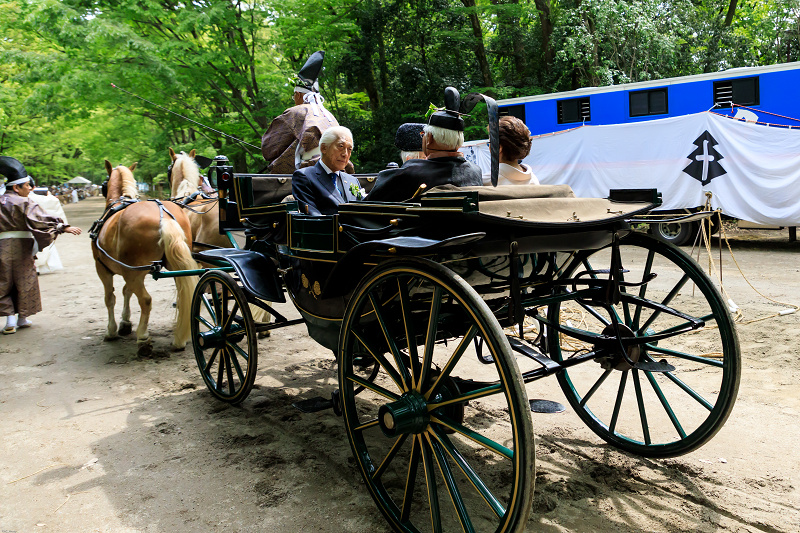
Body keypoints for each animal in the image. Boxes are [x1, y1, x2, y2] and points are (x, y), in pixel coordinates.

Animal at [93, 160, 199, 356]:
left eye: (104, 184)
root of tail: (164, 216)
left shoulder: (103, 269)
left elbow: (110, 298)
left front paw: (111, 330)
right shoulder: (130, 270)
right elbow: (126, 291)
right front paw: (125, 322)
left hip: (132, 272)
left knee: (146, 300)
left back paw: (143, 337)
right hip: (176, 267)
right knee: (183, 296)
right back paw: (181, 338)